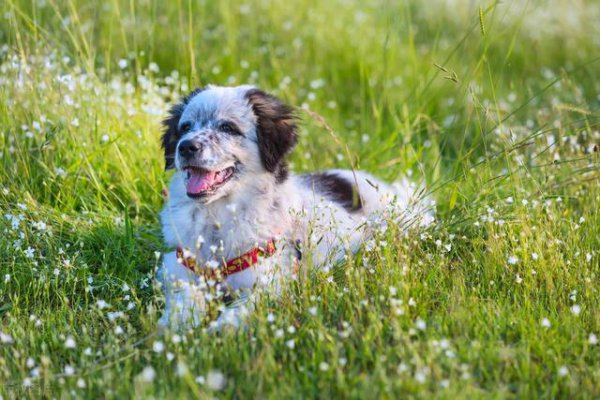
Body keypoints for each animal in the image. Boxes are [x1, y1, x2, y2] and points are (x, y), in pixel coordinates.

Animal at [157, 84, 434, 328]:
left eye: (228, 127)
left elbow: (237, 314)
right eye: (185, 127)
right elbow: (184, 300)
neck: (217, 217)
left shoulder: (267, 283)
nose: (186, 146)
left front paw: (217, 331)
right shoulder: (180, 268)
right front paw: (177, 326)